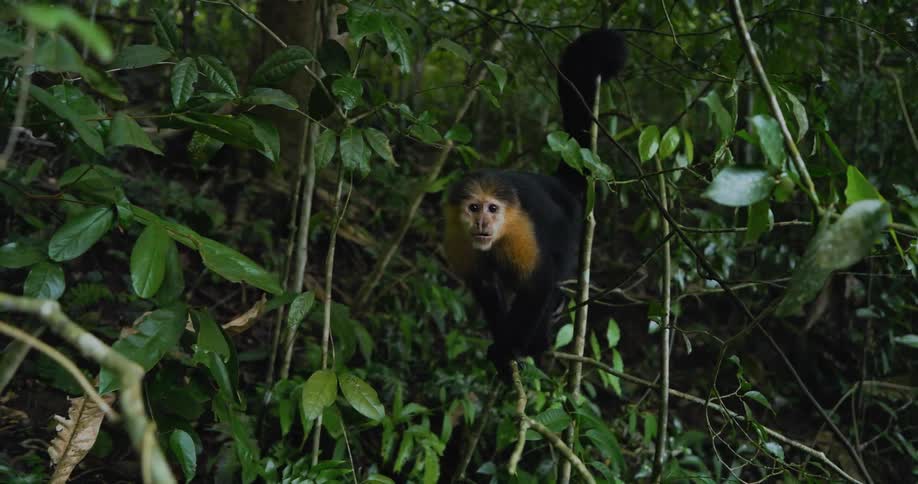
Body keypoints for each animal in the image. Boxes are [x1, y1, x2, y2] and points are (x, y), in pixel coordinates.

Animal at [443, 30, 627, 372]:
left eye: (493, 209)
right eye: (473, 208)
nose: (483, 222)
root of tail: (557, 184)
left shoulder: (520, 231)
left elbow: (538, 285)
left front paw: (508, 349)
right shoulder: (457, 238)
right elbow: (485, 288)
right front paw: (501, 342)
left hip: (569, 224)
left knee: (553, 276)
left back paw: (538, 342)